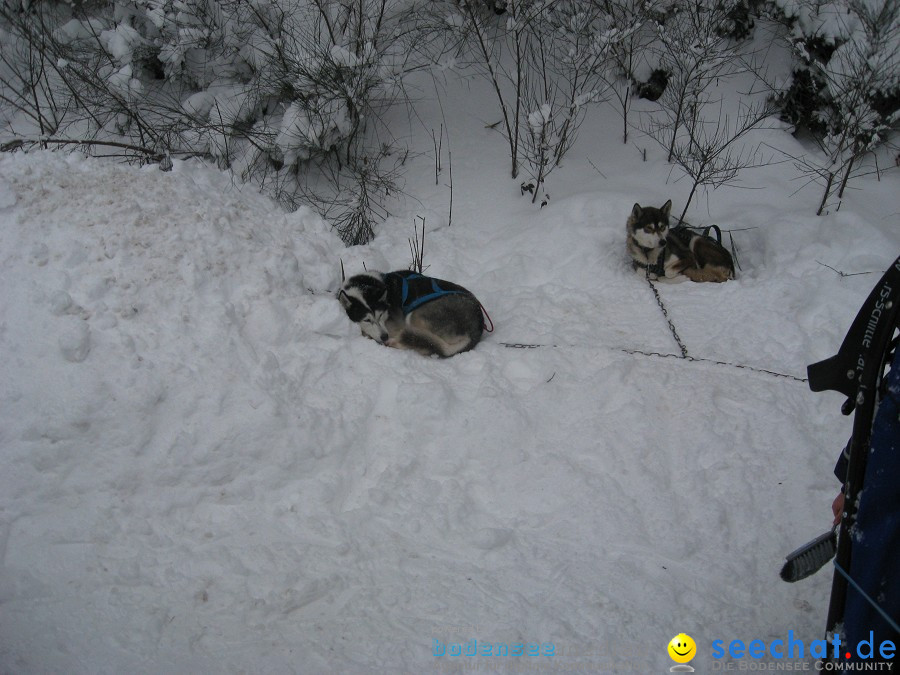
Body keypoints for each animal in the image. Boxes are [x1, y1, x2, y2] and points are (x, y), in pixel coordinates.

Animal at [336, 270, 486, 360]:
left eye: (380, 315)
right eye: (367, 320)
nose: (385, 337)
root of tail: (475, 329)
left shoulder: (395, 325)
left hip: (414, 316)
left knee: (423, 344)